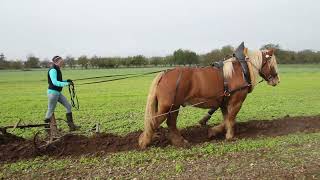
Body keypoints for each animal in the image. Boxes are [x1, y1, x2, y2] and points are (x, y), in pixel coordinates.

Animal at [139, 45, 278, 149]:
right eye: (272, 63)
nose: (277, 80)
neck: (240, 71)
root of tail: (165, 73)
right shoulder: (236, 101)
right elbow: (231, 118)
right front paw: (229, 136)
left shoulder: (223, 102)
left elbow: (227, 119)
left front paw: (215, 132)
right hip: (168, 106)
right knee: (154, 121)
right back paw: (144, 141)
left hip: (174, 106)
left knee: (170, 123)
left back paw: (179, 142)